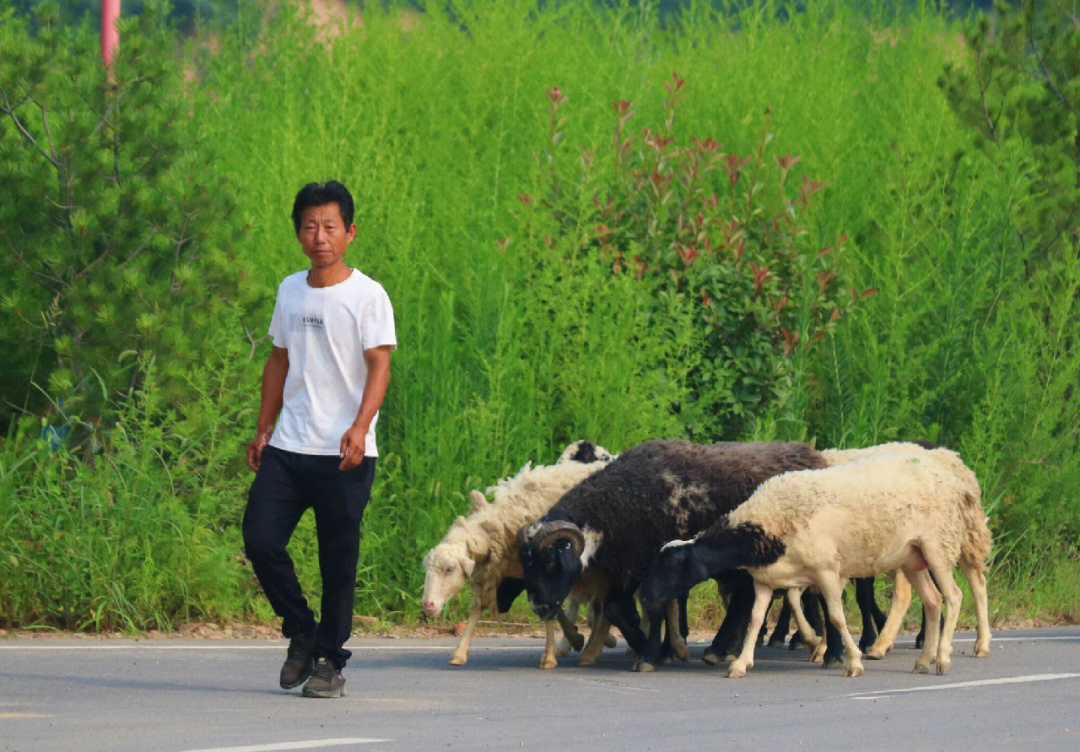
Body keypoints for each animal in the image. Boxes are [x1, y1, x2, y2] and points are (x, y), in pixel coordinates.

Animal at [421, 440, 617, 669]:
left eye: (449, 569)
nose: (427, 605)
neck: (505, 519)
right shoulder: (498, 572)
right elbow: (476, 609)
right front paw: (460, 653)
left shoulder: (546, 570)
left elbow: (551, 611)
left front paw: (550, 656)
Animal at [516, 438, 825, 674]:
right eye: (526, 565)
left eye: (550, 562)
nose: (538, 607)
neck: (617, 502)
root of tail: (814, 454)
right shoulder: (629, 564)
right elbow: (618, 608)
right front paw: (650, 646)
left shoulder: (647, 564)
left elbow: (651, 607)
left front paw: (650, 651)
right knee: (745, 597)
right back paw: (722, 648)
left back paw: (723, 648)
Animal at [635, 442, 989, 678]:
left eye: (672, 567)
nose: (646, 598)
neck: (764, 526)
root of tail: (950, 471)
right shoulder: (767, 579)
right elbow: (755, 619)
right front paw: (740, 663)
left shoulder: (827, 570)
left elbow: (836, 617)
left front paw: (851, 660)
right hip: (912, 556)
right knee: (931, 601)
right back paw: (923, 661)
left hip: (939, 545)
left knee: (956, 595)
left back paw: (946, 657)